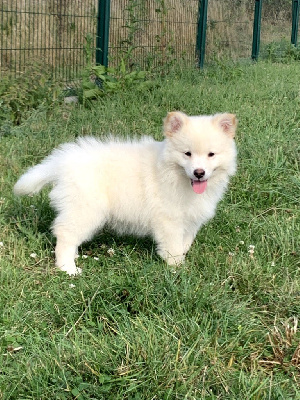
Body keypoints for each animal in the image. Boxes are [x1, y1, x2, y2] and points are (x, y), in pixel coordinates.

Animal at [14, 111, 238, 276]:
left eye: (211, 154)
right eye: (187, 153)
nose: (199, 173)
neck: (175, 175)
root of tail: (61, 162)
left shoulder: (190, 220)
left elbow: (185, 243)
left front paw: (181, 261)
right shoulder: (169, 220)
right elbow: (173, 246)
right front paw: (177, 269)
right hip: (85, 210)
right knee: (65, 234)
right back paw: (68, 268)